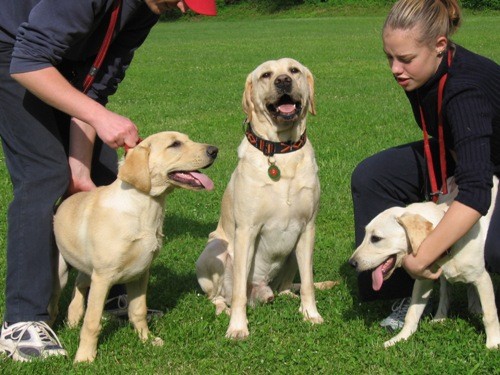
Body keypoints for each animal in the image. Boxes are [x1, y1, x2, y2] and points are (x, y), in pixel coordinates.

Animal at [53, 131, 217, 362]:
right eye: (174, 144)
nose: (214, 150)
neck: (145, 210)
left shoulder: (140, 273)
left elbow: (138, 311)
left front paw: (147, 340)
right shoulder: (103, 277)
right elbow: (92, 322)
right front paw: (85, 357)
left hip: (87, 268)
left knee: (79, 285)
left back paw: (73, 317)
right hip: (60, 272)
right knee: (55, 301)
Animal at [197, 58, 334, 340]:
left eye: (294, 70)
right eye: (266, 75)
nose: (283, 81)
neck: (281, 152)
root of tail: (260, 289)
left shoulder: (307, 228)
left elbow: (308, 283)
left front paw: (311, 314)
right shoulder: (246, 230)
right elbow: (238, 292)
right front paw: (238, 327)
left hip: (291, 252)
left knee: (285, 286)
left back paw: (288, 296)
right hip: (215, 250)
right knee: (219, 296)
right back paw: (225, 310)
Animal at [348, 178, 500, 352]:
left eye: (376, 238)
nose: (351, 263)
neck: (447, 242)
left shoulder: (483, 279)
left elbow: (490, 314)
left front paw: (493, 343)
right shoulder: (423, 278)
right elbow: (412, 313)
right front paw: (399, 338)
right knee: (445, 293)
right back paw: (442, 317)